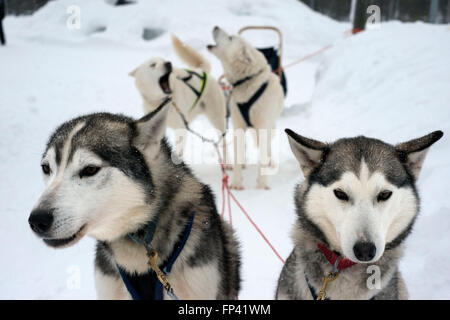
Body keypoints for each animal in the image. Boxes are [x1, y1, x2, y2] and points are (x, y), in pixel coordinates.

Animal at [208, 26, 284, 190]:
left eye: (230, 38)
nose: (215, 26)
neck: (248, 80)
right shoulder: (238, 125)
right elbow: (237, 157)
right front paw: (237, 183)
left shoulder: (263, 127)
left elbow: (263, 157)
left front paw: (261, 185)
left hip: (269, 127)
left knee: (267, 147)